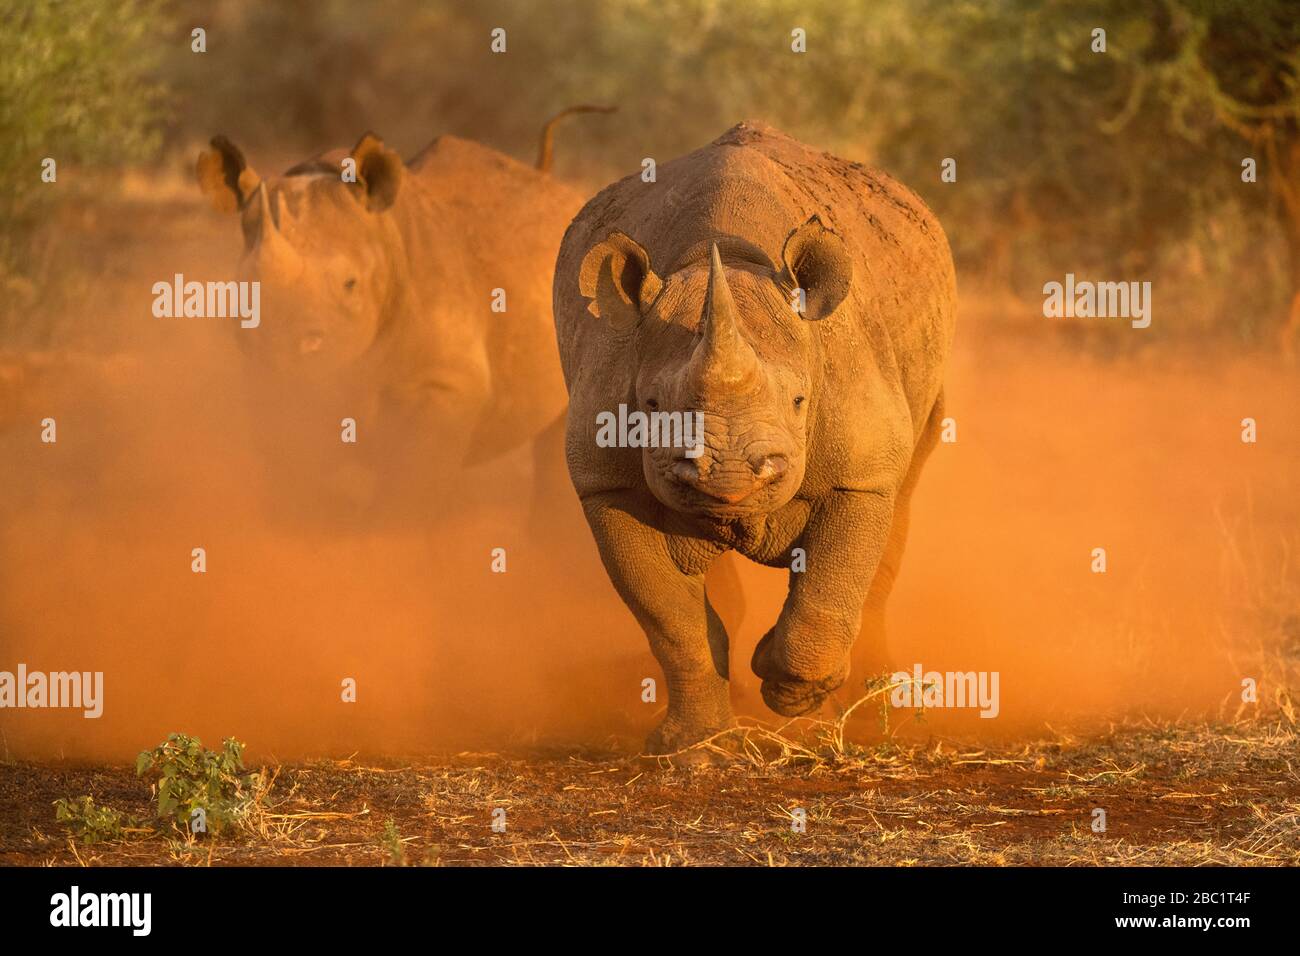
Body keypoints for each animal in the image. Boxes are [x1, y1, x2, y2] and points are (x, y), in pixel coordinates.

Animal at [551, 123, 956, 759]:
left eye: (799, 402)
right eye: (651, 406)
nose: (728, 477)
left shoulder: (860, 473)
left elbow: (832, 581)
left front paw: (791, 691)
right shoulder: (606, 486)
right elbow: (673, 622)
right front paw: (695, 748)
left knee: (902, 498)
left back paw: (876, 709)